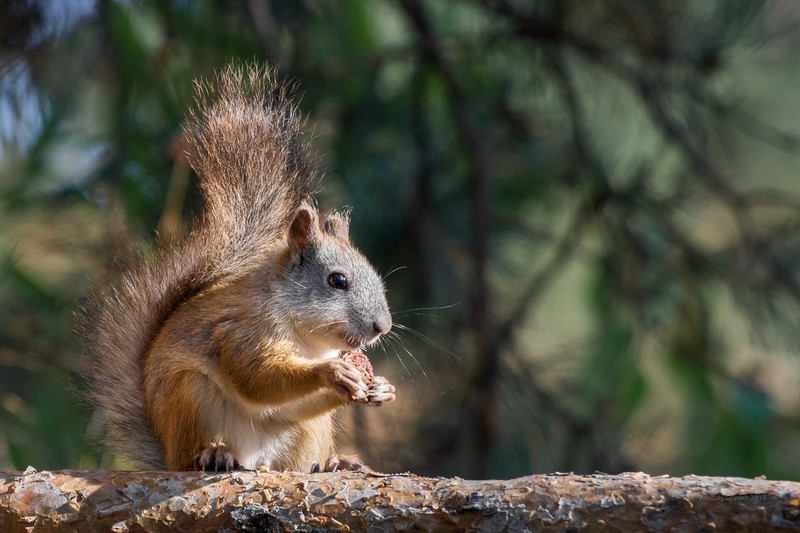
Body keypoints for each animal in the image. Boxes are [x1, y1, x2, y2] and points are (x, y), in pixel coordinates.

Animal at [79, 64, 396, 472]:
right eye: (337, 280)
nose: (382, 327)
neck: (305, 336)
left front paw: (378, 388)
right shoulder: (241, 332)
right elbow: (257, 377)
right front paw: (331, 373)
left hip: (306, 434)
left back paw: (332, 463)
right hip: (189, 396)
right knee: (197, 447)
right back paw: (214, 453)